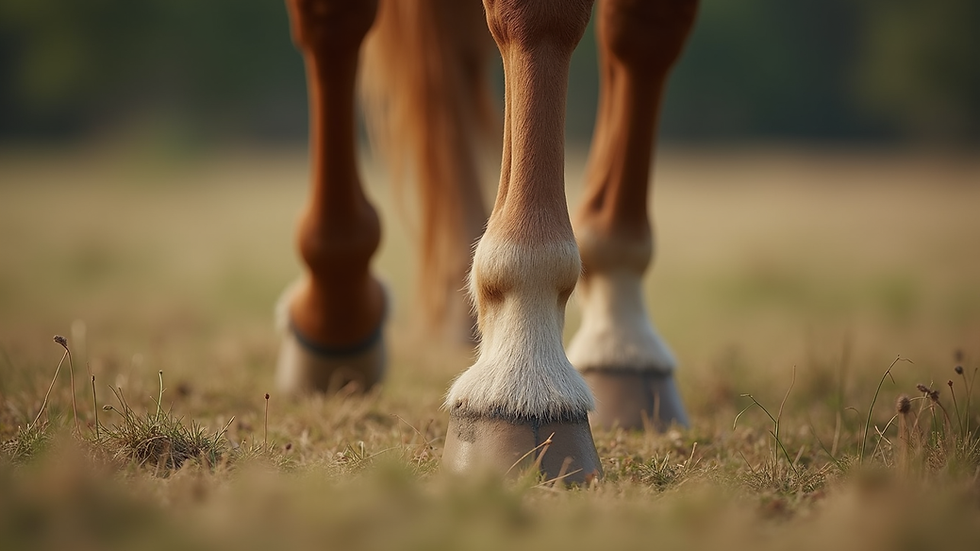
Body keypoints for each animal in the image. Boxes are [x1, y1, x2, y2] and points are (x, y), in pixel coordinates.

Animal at [275, 0, 699, 484]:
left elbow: (646, 32)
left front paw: (621, 341)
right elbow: (538, 19)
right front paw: (518, 371)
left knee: (448, 72)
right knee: (357, 37)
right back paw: (337, 315)